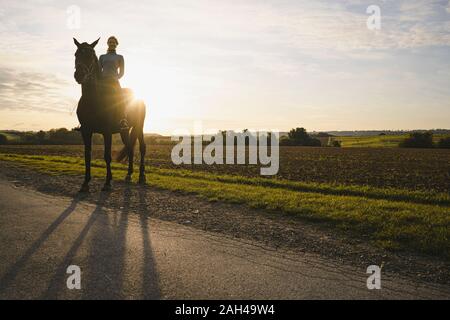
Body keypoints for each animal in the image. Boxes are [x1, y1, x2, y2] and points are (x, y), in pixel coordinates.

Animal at [74, 38, 147, 192]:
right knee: (130, 148)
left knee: (142, 148)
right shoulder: (86, 131)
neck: (93, 99)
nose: (79, 75)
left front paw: (107, 182)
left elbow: (107, 156)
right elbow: (87, 155)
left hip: (139, 127)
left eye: (91, 55)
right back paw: (129, 175)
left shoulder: (106, 132)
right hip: (124, 130)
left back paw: (142, 177)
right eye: (76, 54)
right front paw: (85, 183)